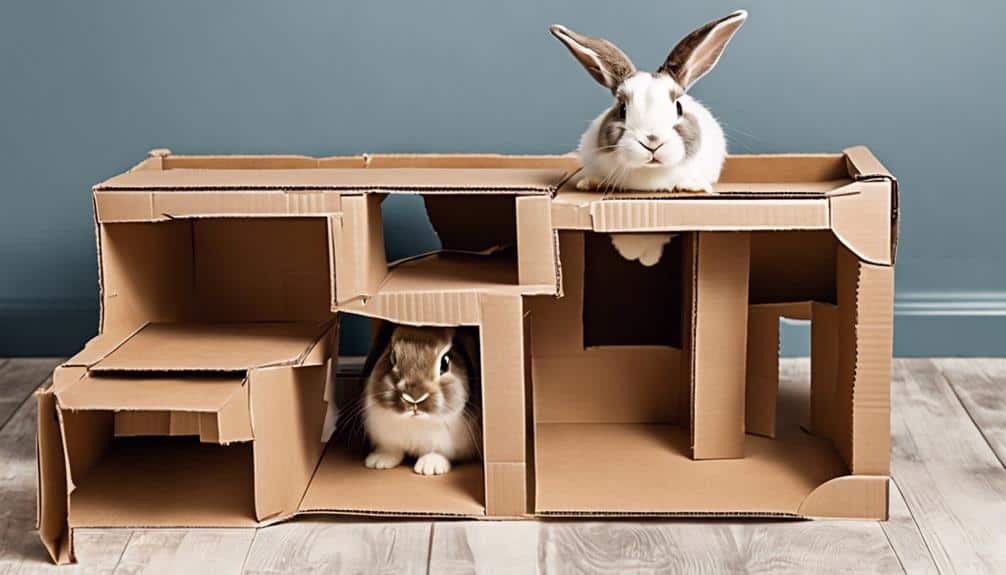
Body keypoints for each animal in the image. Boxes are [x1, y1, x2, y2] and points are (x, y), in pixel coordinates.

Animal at [362, 324, 482, 476]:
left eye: (445, 362)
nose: (414, 399)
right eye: (393, 357)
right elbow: (391, 448)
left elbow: (438, 452)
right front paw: (379, 461)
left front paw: (430, 467)